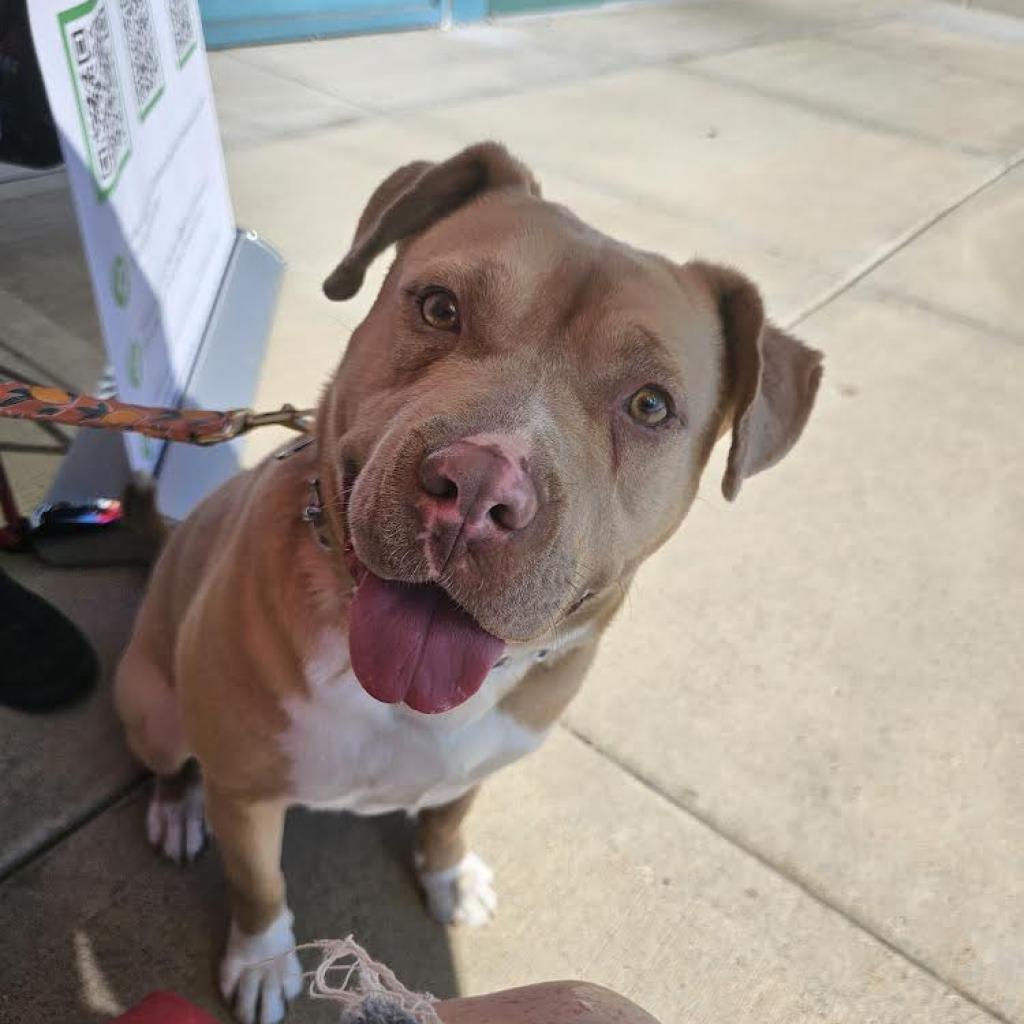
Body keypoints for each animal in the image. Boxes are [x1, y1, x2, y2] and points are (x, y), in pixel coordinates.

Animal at [114, 142, 823, 1024]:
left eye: (651, 405)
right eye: (440, 308)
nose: (480, 489)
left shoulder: (486, 759)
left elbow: (451, 812)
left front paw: (448, 874)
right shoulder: (245, 791)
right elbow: (258, 880)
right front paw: (263, 959)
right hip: (153, 707)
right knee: (170, 759)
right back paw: (177, 807)